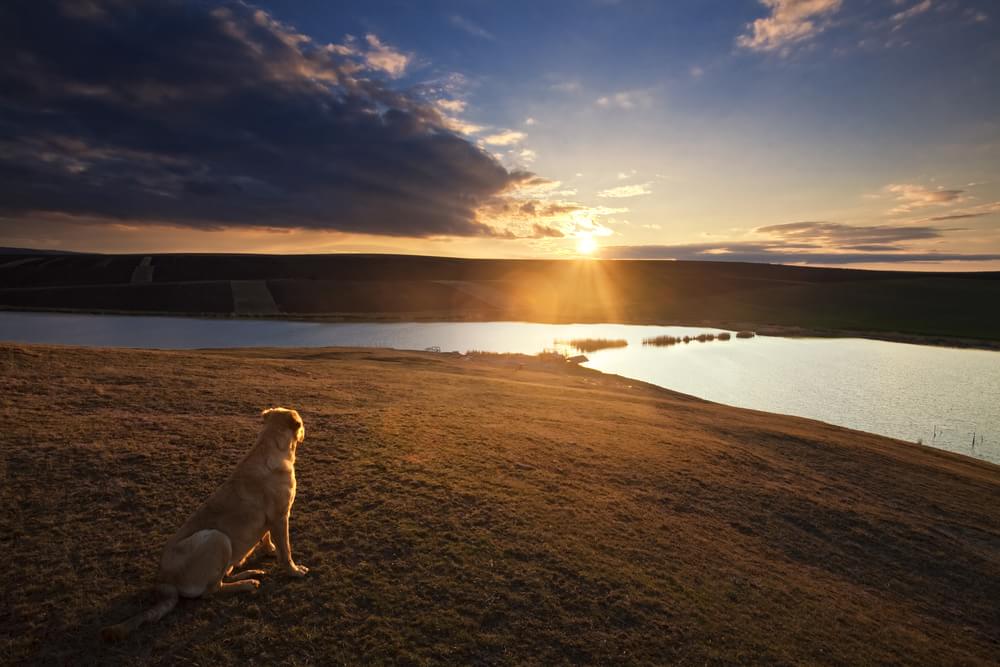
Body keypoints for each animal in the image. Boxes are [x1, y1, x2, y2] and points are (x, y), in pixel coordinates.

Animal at [102, 408, 308, 640]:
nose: (306, 430)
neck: (270, 447)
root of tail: (163, 582)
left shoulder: (271, 519)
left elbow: (266, 537)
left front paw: (270, 550)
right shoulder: (280, 517)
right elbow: (286, 551)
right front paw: (294, 570)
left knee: (224, 574)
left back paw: (249, 573)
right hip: (217, 538)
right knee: (211, 590)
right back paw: (246, 584)